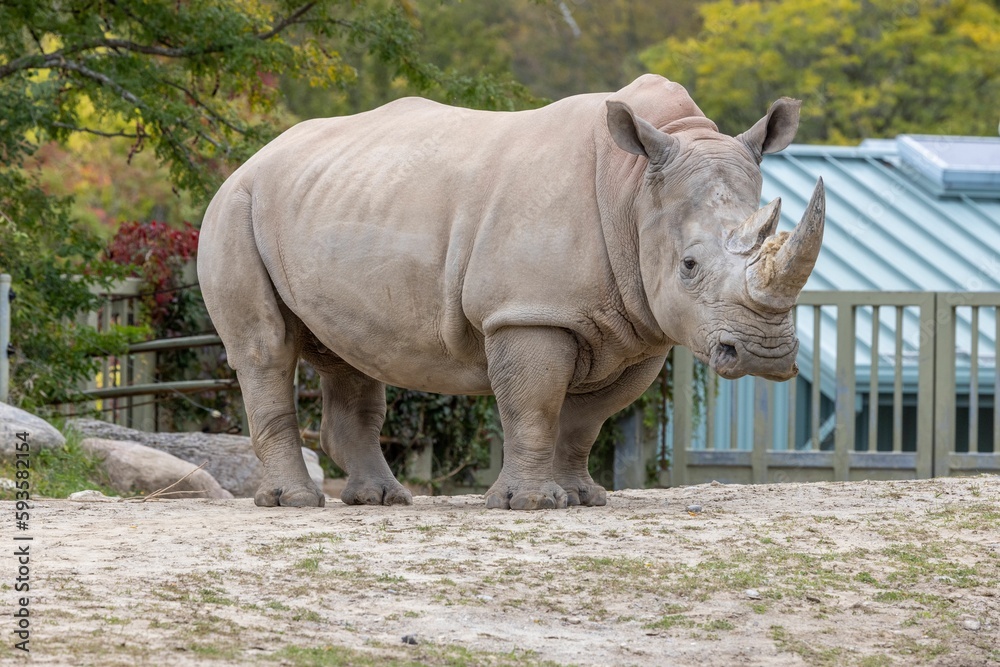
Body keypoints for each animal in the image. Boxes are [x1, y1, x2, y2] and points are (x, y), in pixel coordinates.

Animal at [198, 74, 824, 510]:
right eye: (689, 265)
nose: (766, 355)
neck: (632, 192)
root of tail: (252, 159)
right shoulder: (527, 312)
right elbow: (535, 404)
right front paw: (529, 504)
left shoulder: (637, 328)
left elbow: (585, 421)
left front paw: (582, 499)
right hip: (236, 207)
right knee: (265, 350)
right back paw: (295, 503)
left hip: (333, 201)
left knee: (348, 352)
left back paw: (380, 500)